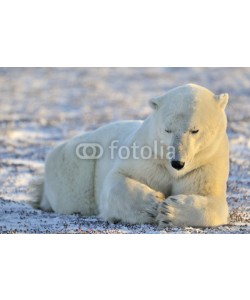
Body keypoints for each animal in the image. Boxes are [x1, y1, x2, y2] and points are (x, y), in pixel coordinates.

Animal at [30, 84, 229, 227]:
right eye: (168, 129)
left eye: (195, 130)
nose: (177, 162)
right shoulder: (148, 156)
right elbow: (118, 178)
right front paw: (153, 205)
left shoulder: (207, 164)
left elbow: (215, 203)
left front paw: (169, 210)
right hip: (76, 166)